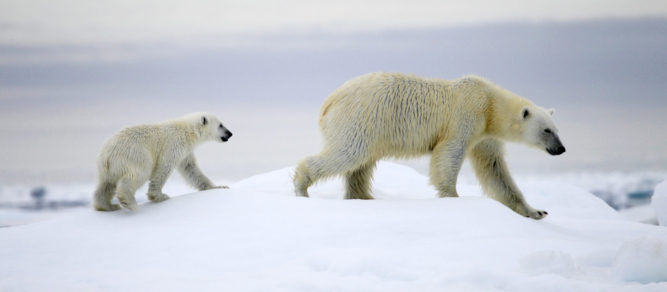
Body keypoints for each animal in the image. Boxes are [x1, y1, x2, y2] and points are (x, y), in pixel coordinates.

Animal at [94, 113, 234, 211]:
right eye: (221, 125)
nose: (230, 133)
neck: (187, 131)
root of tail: (107, 154)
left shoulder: (186, 151)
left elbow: (191, 169)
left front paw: (218, 187)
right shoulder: (174, 144)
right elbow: (164, 166)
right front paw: (159, 196)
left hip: (109, 168)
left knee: (106, 185)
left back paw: (107, 206)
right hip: (134, 154)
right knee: (139, 173)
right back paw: (129, 202)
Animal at [294, 72, 568, 219]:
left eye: (557, 129)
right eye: (546, 130)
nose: (561, 149)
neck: (491, 104)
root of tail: (329, 101)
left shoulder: (485, 135)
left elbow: (494, 170)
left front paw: (536, 211)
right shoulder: (466, 115)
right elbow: (449, 154)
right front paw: (453, 196)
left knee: (360, 166)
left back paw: (363, 197)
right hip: (362, 119)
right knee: (349, 154)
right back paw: (301, 187)